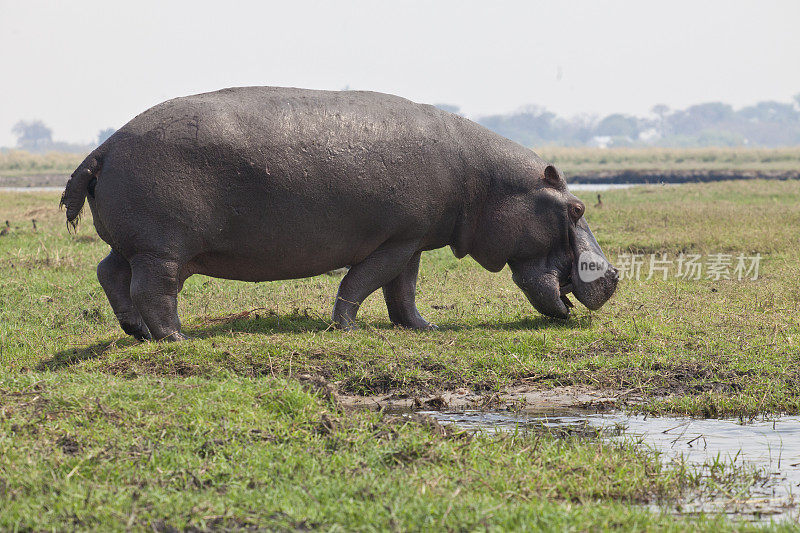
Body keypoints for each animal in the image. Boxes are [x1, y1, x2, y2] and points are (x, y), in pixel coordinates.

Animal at [61, 85, 620, 338]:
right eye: (575, 208)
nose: (613, 273)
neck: (486, 183)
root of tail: (103, 146)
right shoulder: (396, 240)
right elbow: (363, 281)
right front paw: (346, 329)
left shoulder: (413, 241)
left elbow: (403, 290)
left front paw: (423, 329)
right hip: (162, 249)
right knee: (153, 290)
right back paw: (177, 338)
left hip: (133, 245)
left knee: (109, 273)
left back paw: (135, 332)